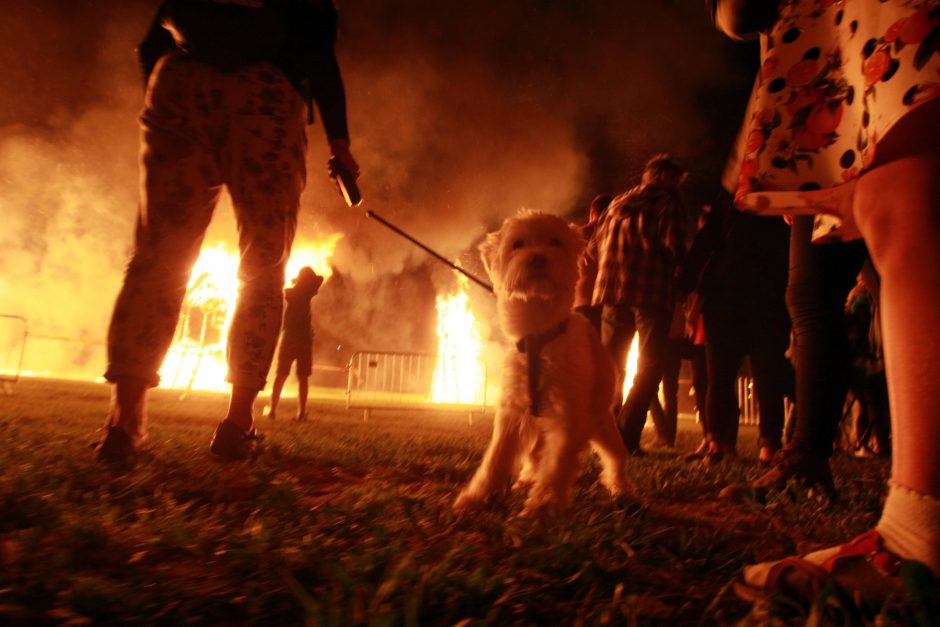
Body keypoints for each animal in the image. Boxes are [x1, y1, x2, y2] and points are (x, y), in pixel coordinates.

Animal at [456, 209, 632, 516]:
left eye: (555, 241)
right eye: (518, 244)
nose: (538, 257)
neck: (539, 334)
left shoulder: (569, 416)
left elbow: (557, 462)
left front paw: (543, 505)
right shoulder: (513, 413)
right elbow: (496, 459)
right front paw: (476, 497)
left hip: (599, 420)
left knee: (615, 455)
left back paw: (620, 487)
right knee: (536, 454)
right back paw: (527, 479)